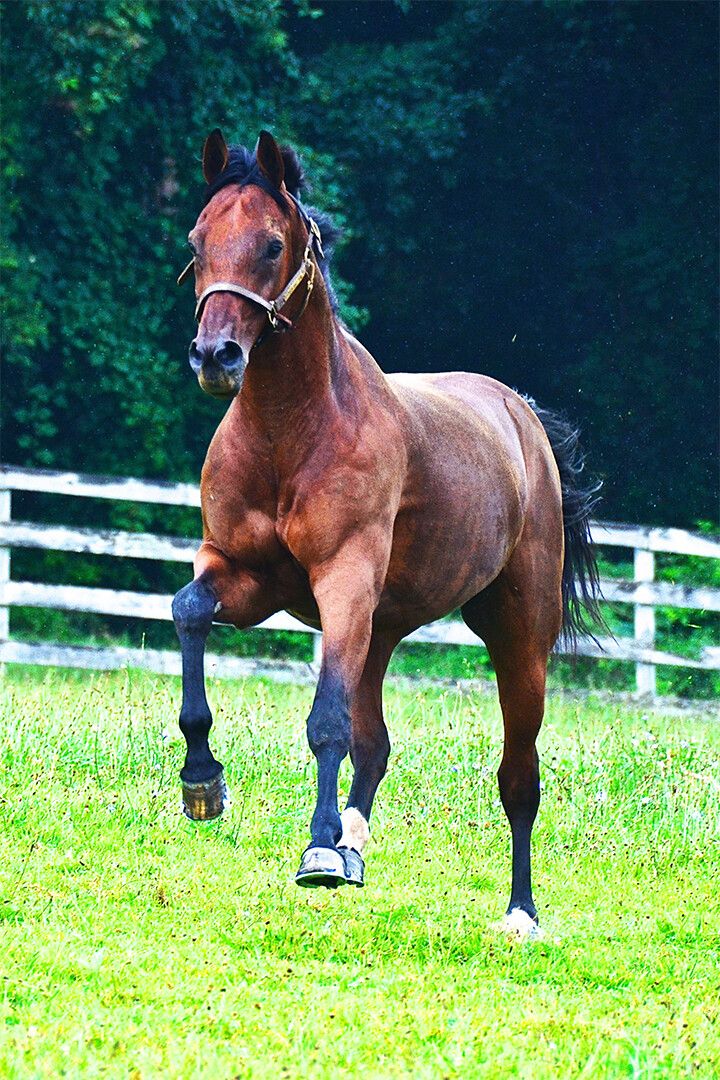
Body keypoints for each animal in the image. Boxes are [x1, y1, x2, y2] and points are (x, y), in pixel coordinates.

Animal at [172, 128, 602, 935]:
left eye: (272, 245)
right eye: (196, 241)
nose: (216, 357)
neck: (291, 433)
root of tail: (522, 416)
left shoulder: (341, 583)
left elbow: (326, 723)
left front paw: (313, 851)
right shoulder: (241, 573)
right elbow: (189, 614)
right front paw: (203, 782)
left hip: (516, 635)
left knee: (518, 776)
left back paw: (519, 912)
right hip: (378, 630)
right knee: (375, 748)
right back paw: (353, 847)